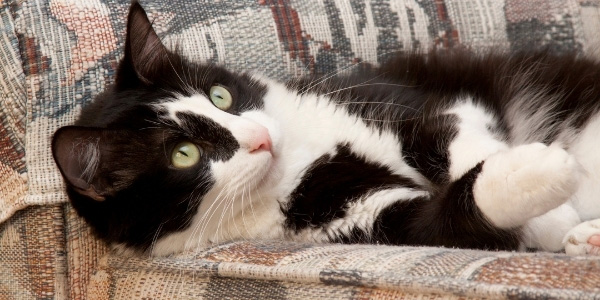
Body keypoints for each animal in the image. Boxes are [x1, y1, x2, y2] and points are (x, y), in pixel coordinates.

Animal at [50, 1, 600, 255]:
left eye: (220, 96)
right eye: (185, 154)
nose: (260, 139)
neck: (299, 161)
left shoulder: (398, 99)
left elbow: (451, 133)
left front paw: (553, 212)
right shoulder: (354, 221)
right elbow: (443, 221)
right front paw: (539, 188)